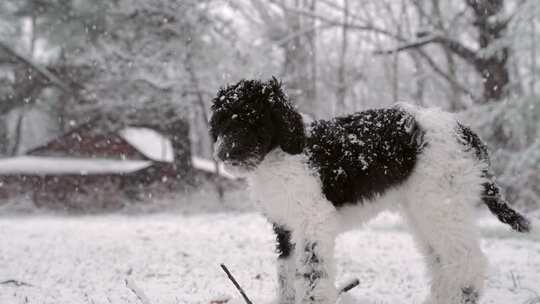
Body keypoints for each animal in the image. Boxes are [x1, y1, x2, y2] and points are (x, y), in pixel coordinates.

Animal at [208, 77, 532, 302]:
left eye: (255, 120)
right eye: (222, 121)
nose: (225, 153)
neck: (281, 155)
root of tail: (466, 133)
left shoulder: (314, 221)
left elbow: (312, 274)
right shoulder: (286, 228)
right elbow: (286, 274)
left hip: (443, 206)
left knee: (467, 261)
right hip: (424, 211)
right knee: (442, 262)